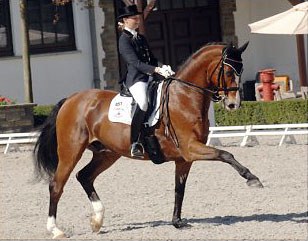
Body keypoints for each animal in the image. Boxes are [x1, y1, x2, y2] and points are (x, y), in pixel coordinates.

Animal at [35, 42, 264, 238]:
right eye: (228, 72)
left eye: (241, 70)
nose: (234, 104)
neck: (185, 97)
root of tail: (71, 99)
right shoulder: (191, 148)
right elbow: (226, 154)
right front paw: (252, 178)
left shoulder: (184, 158)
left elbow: (179, 189)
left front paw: (177, 222)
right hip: (71, 151)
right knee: (56, 185)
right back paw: (55, 230)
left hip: (106, 153)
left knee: (84, 176)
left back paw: (97, 220)